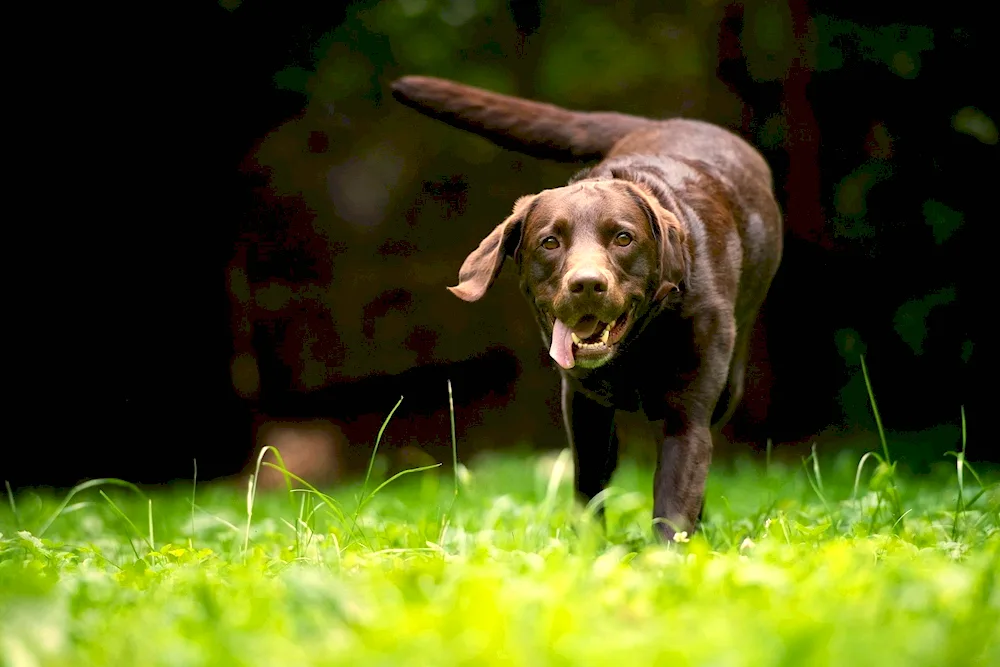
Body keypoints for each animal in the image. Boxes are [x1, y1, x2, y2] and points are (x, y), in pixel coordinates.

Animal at [390, 74, 780, 544]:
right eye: (550, 242)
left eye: (624, 238)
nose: (587, 284)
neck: (635, 348)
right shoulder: (583, 407)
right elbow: (589, 490)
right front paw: (587, 549)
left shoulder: (686, 415)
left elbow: (674, 501)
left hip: (729, 383)